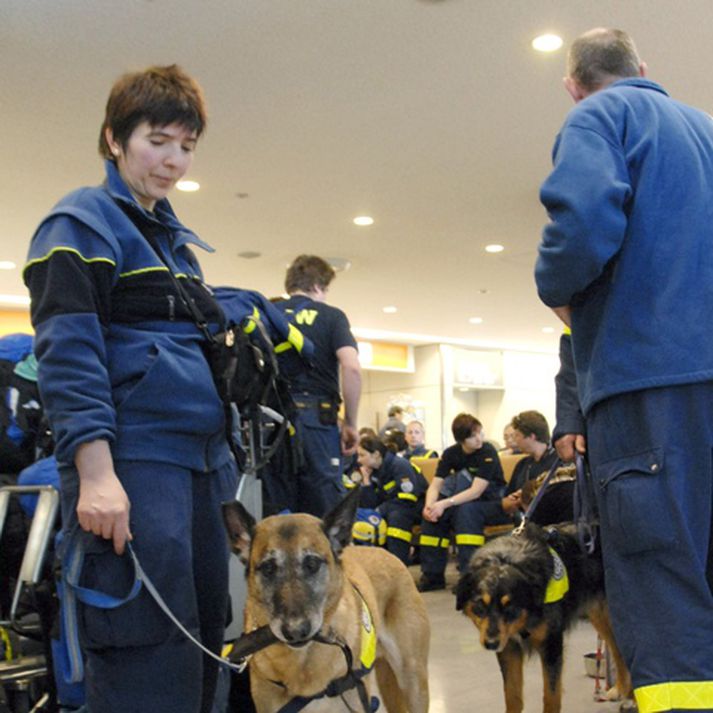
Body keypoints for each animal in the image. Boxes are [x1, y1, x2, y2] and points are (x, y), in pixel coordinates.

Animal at [222, 486, 428, 712]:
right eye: (268, 568)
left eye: (312, 563)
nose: (295, 631)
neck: (302, 662)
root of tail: (384, 551)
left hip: (413, 683)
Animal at [454, 520, 632, 712]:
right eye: (480, 605)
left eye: (510, 607)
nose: (491, 644)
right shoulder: (509, 647)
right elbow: (512, 695)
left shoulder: (551, 644)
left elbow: (551, 696)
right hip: (600, 616)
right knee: (617, 650)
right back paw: (621, 689)